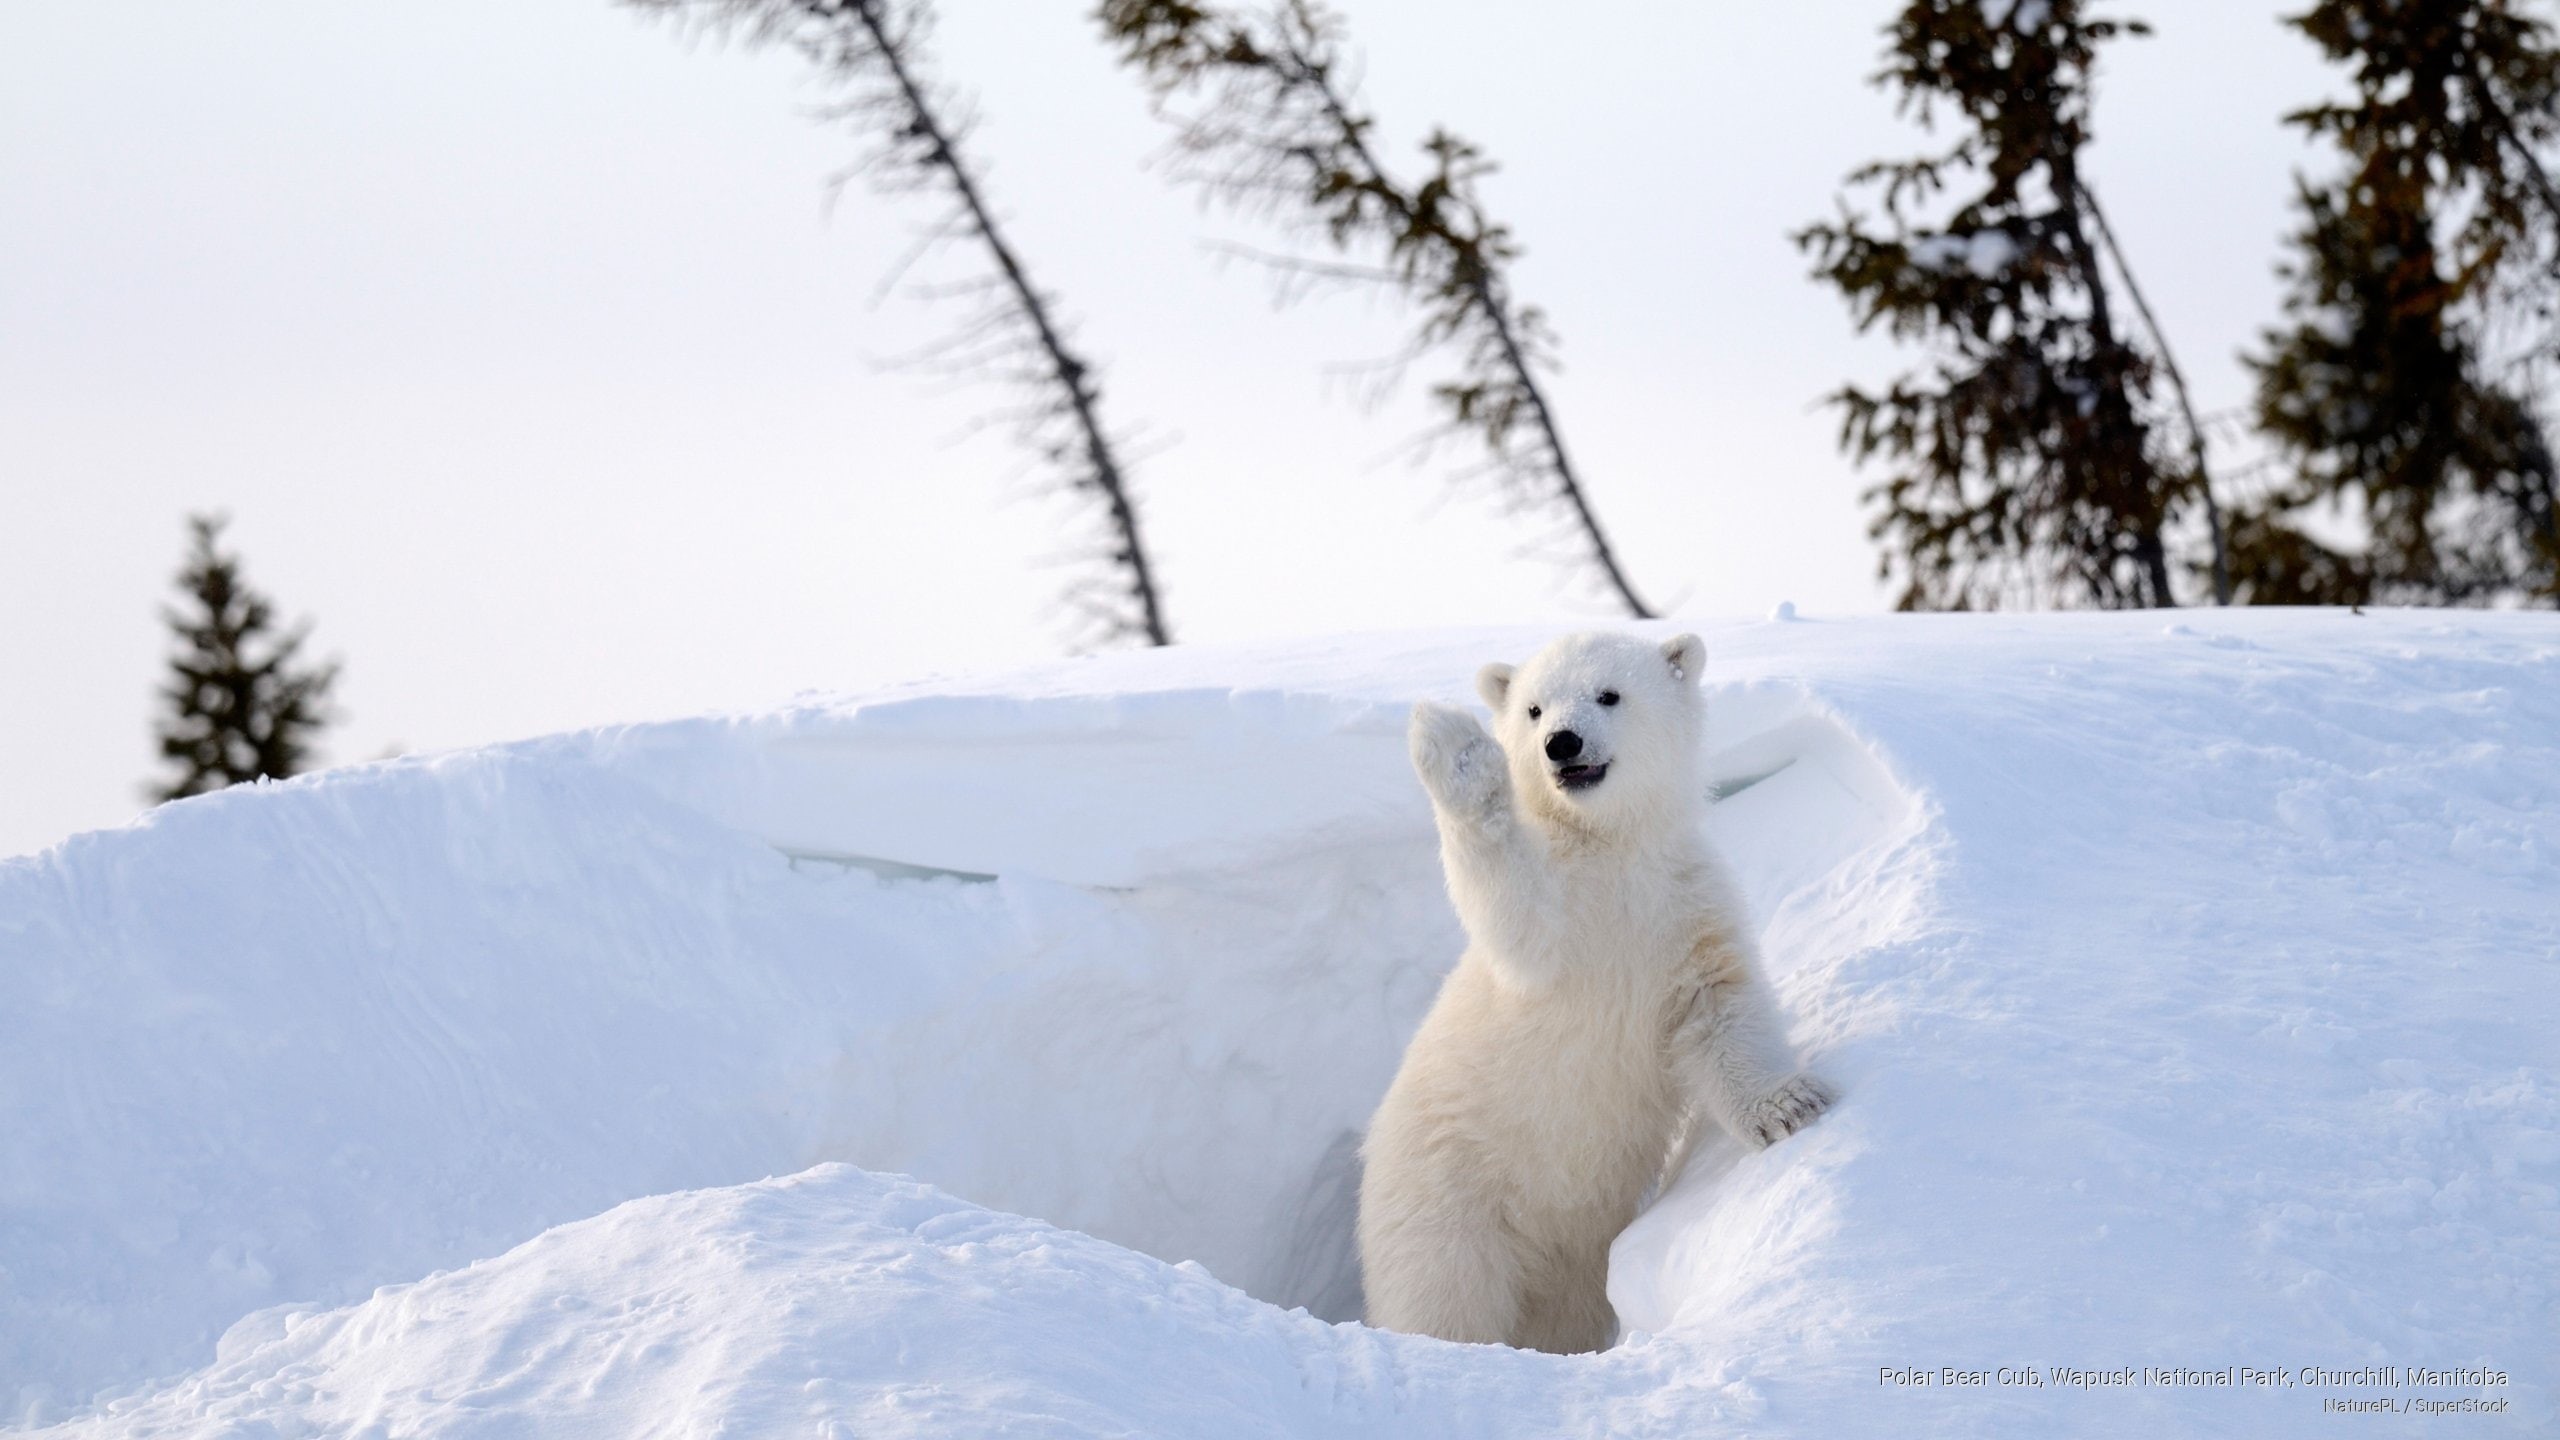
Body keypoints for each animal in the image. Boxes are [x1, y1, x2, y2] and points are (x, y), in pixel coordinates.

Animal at [1357, 630, 1834, 1354]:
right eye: (1532, 708)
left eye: (1609, 694)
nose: (1562, 742)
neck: (1610, 850)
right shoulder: (1559, 924)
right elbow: (1515, 915)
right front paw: (1456, 748)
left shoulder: (1684, 906)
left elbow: (1719, 1008)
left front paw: (1790, 1108)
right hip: (1448, 1194)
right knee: (1444, 1295)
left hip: (1570, 1257)